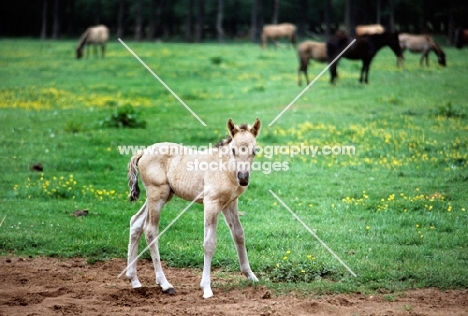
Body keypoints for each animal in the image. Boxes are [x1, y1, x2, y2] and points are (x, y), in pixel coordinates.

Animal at [126, 118, 262, 298]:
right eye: (233, 150)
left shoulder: (230, 203)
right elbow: (209, 243)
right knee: (150, 231)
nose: (244, 178)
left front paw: (251, 276)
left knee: (136, 222)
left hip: (160, 196)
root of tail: (143, 152)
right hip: (157, 194)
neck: (225, 168)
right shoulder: (211, 203)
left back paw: (134, 280)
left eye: (255, 151)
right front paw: (206, 288)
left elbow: (239, 235)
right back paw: (165, 284)